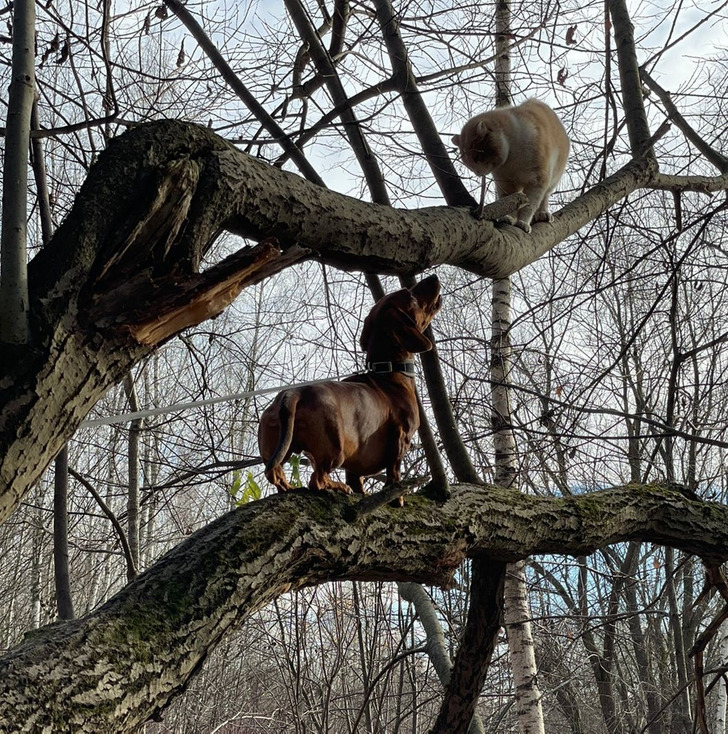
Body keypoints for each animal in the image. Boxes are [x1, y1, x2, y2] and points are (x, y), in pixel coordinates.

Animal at [452, 99, 572, 233]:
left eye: (476, 158)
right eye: (468, 165)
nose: (477, 173)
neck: (511, 158)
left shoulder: (537, 181)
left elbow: (529, 206)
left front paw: (523, 222)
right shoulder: (505, 183)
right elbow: (509, 203)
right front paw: (509, 218)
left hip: (553, 178)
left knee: (545, 196)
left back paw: (543, 213)